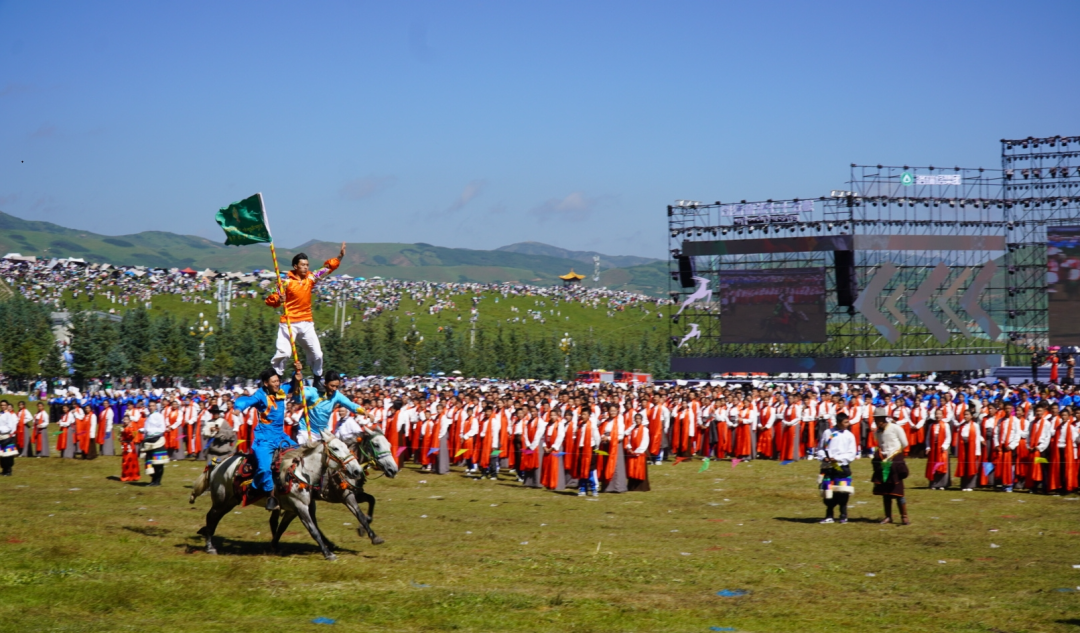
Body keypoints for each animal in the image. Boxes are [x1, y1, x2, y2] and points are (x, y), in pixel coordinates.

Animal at [195, 430, 363, 560]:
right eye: (335, 448)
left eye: (346, 447)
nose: (357, 471)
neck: (300, 473)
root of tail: (218, 464)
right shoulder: (300, 506)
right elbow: (313, 530)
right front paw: (328, 554)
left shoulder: (294, 509)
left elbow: (284, 527)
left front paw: (274, 546)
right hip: (221, 500)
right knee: (211, 516)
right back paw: (210, 547)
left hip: (230, 501)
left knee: (215, 518)